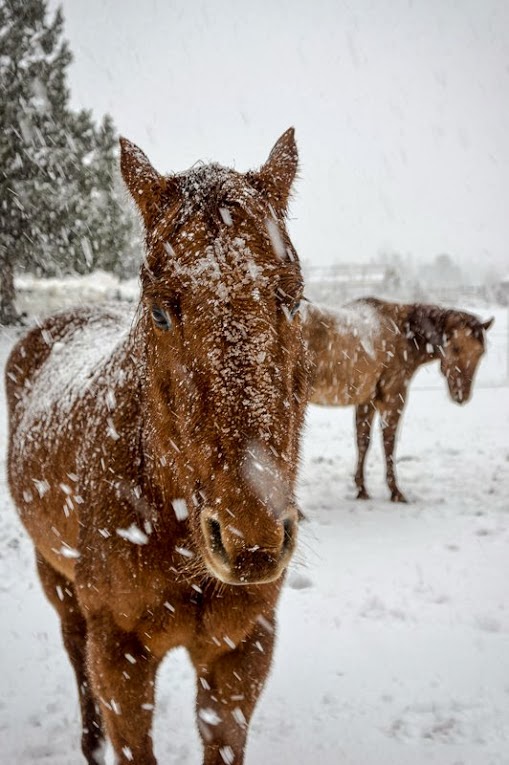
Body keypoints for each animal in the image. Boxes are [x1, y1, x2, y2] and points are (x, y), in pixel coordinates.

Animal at [5, 130, 308, 764]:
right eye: (162, 309)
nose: (250, 537)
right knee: (74, 650)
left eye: (292, 299)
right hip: (57, 580)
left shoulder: (242, 652)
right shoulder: (120, 656)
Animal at [302, 296, 492, 502]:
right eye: (456, 348)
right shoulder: (393, 397)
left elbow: (363, 441)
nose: (462, 395)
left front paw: (361, 489)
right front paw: (395, 491)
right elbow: (389, 442)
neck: (403, 334)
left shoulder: (366, 401)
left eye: (481, 352)